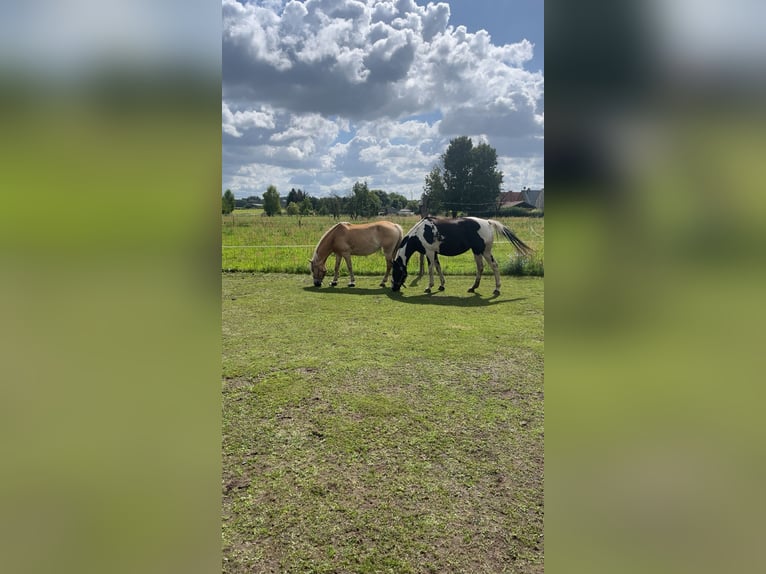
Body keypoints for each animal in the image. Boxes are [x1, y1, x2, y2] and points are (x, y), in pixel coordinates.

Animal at [391, 217, 533, 295]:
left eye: (395, 272)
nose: (394, 288)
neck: (420, 232)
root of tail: (487, 222)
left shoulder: (429, 252)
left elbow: (431, 269)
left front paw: (429, 287)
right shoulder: (435, 253)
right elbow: (438, 267)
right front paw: (441, 285)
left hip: (482, 251)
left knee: (493, 266)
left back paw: (497, 289)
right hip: (478, 251)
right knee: (481, 267)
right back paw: (473, 287)